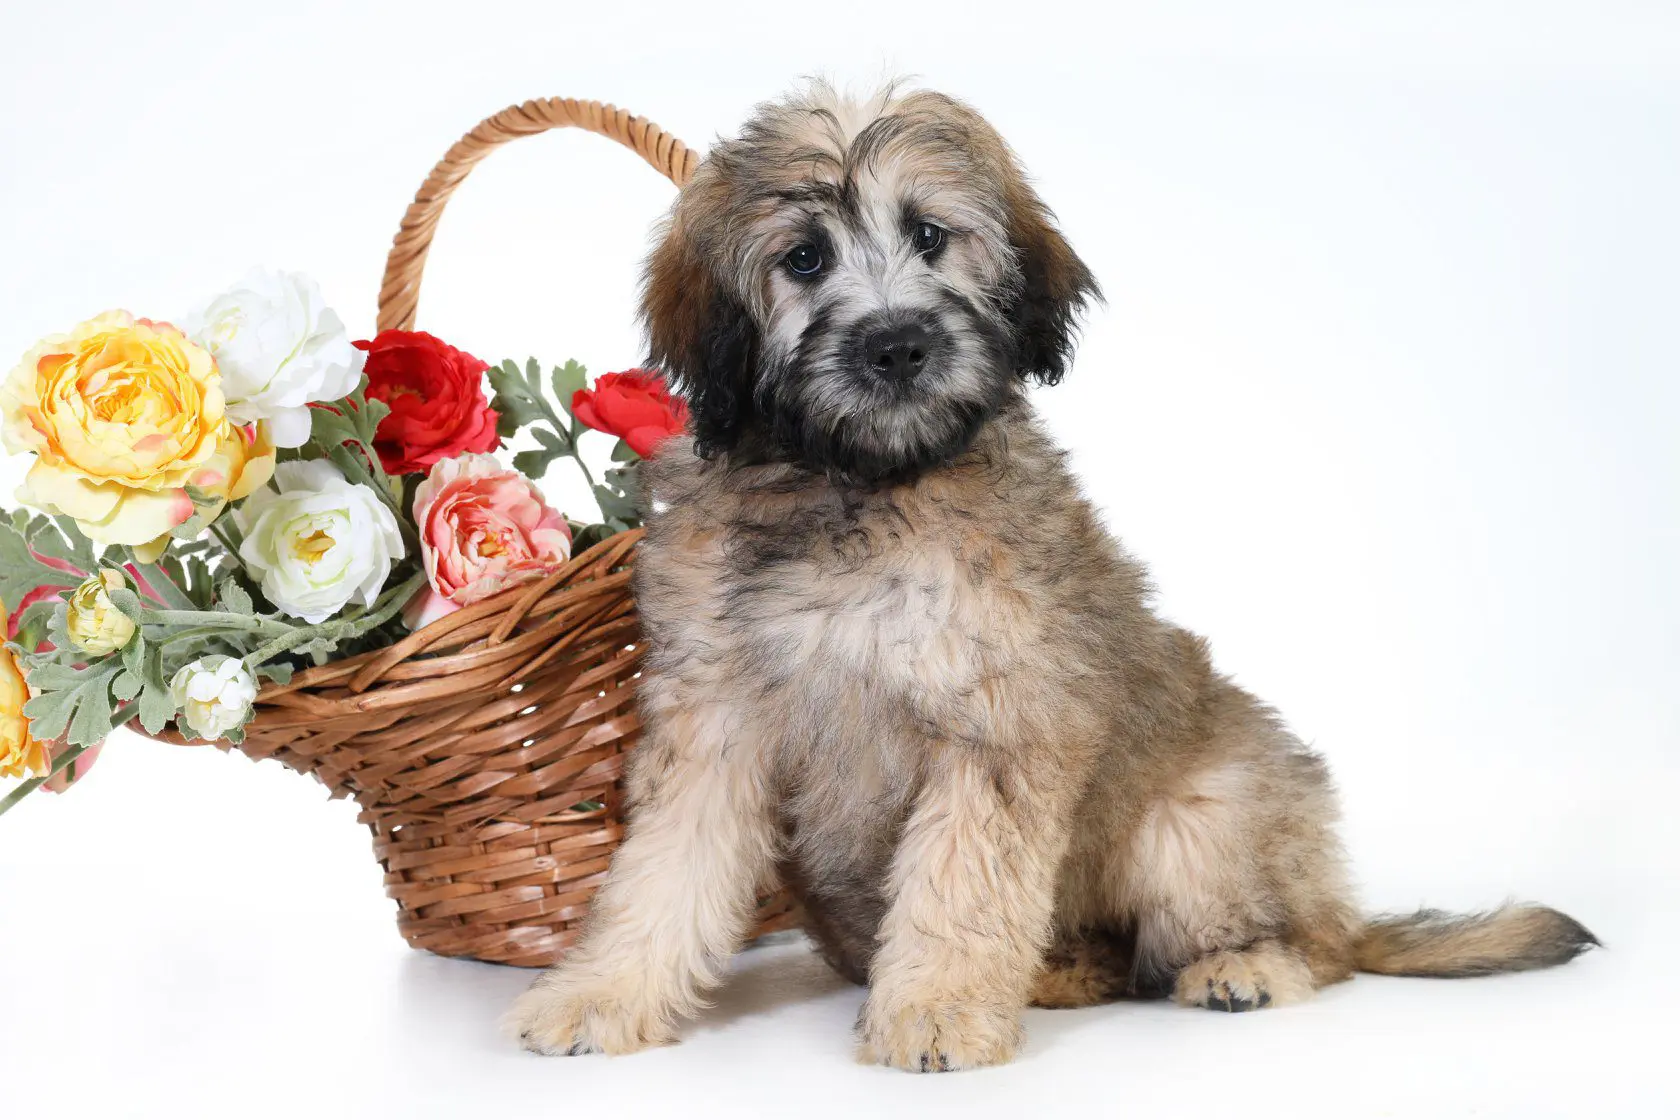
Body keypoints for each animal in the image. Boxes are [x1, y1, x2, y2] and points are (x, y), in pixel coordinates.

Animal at [503, 83, 1592, 1074]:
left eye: (931, 235)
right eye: (803, 257)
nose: (898, 344)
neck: (859, 486)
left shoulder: (996, 719)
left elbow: (961, 879)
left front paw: (938, 1011)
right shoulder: (715, 718)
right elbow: (662, 874)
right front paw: (599, 994)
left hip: (1202, 824)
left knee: (1312, 946)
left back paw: (1247, 966)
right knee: (1121, 959)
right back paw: (1058, 972)